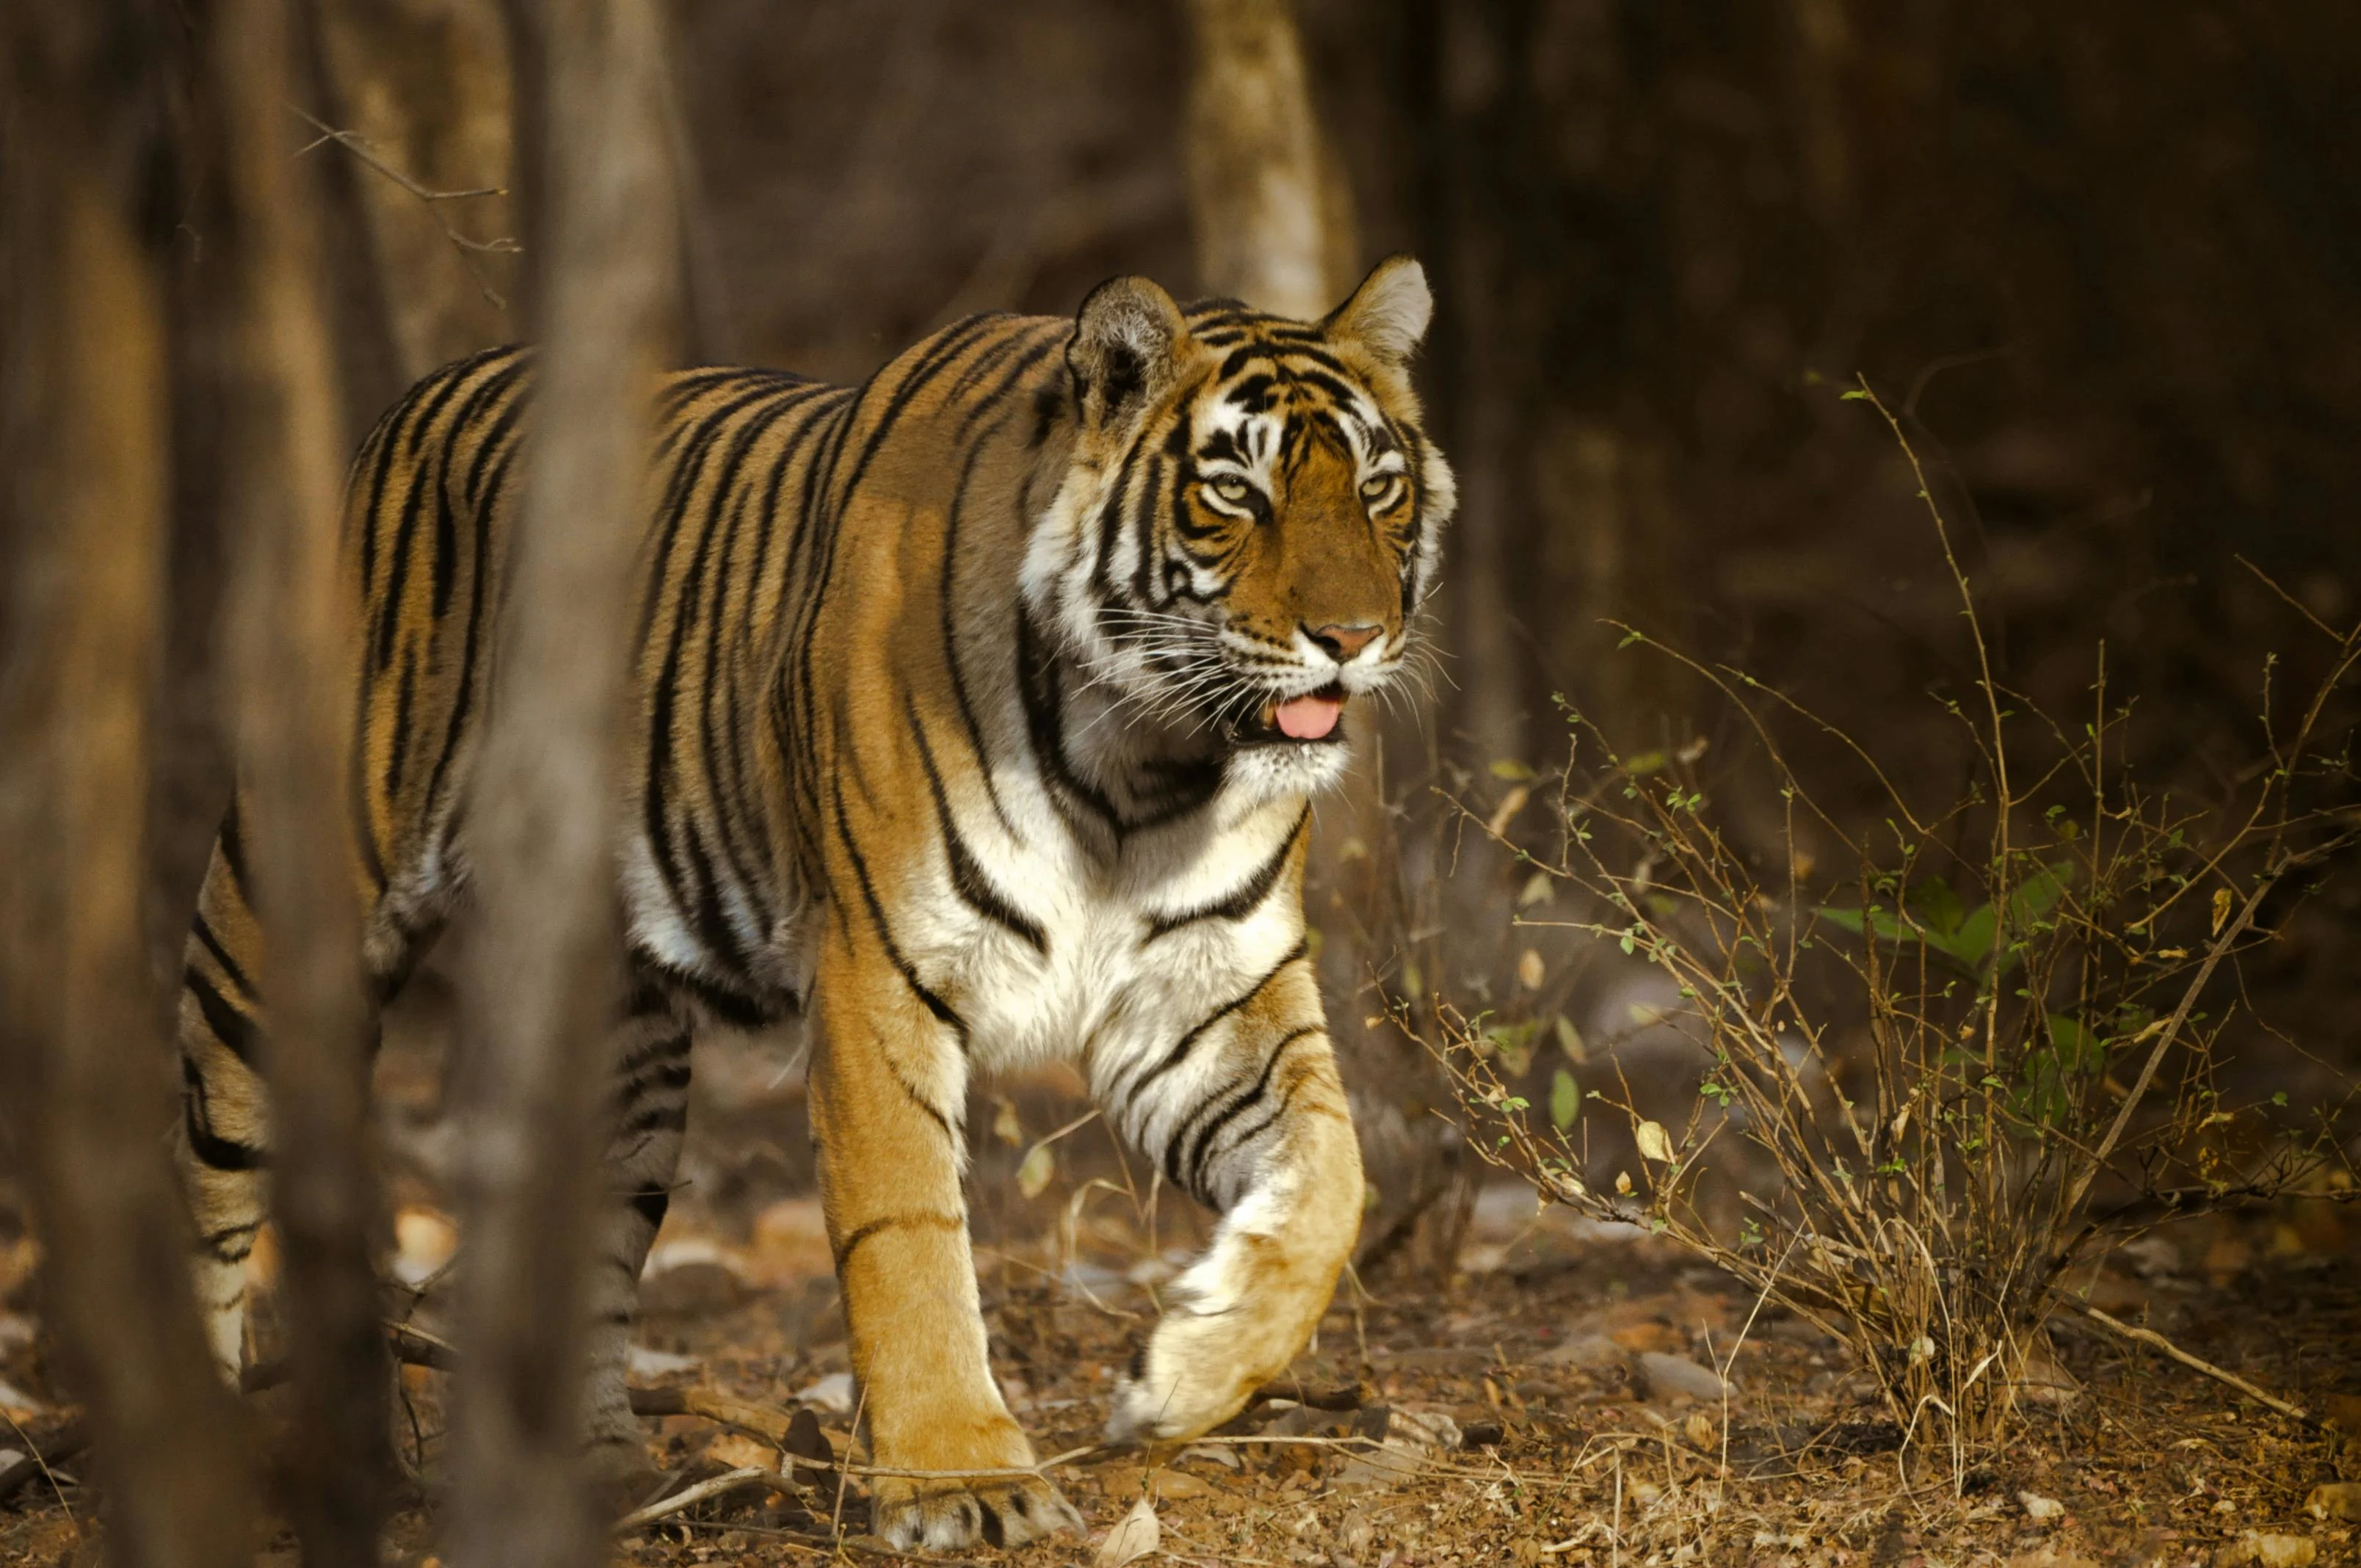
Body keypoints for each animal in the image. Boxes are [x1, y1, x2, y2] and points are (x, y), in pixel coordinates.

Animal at [170, 255, 1454, 1550]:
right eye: (1235, 492)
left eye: (1380, 488)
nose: (1353, 638)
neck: (1146, 768)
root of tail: (414, 401)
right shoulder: (882, 972)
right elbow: (908, 1234)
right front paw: (958, 1477)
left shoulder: (1209, 994)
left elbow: (1333, 1179)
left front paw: (1186, 1374)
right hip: (278, 929)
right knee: (206, 1193)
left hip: (619, 1055)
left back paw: (601, 1474)